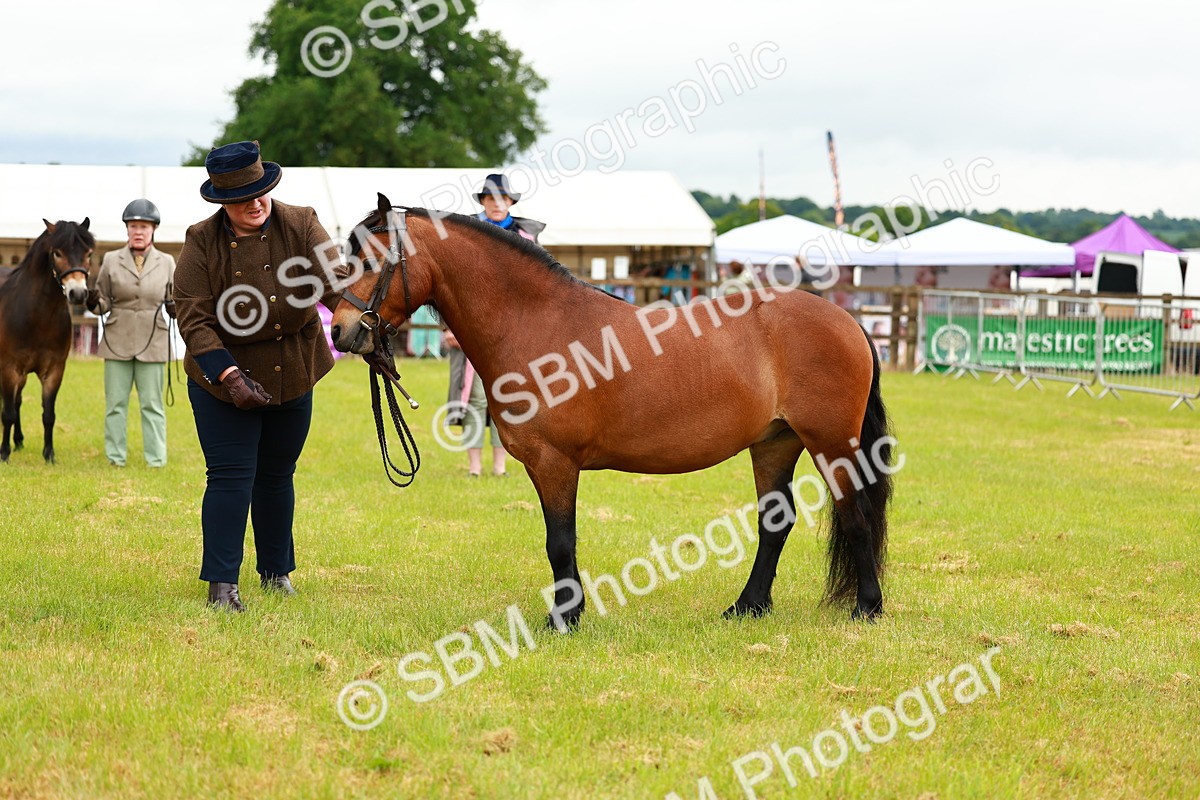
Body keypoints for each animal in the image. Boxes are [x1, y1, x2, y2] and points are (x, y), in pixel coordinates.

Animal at [0, 219, 94, 463]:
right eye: (57, 253)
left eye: (89, 253)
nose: (77, 294)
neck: (38, 316)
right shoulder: (9, 368)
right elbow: (7, 413)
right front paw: (4, 453)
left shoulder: (54, 370)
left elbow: (48, 414)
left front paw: (49, 454)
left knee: (17, 400)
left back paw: (19, 440)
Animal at [331, 195, 892, 628]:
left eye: (370, 261)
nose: (341, 331)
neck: (537, 323)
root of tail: (848, 321)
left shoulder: (554, 463)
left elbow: (560, 542)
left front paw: (564, 618)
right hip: (775, 443)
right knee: (775, 523)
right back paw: (748, 606)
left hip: (830, 443)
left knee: (855, 514)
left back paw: (866, 608)